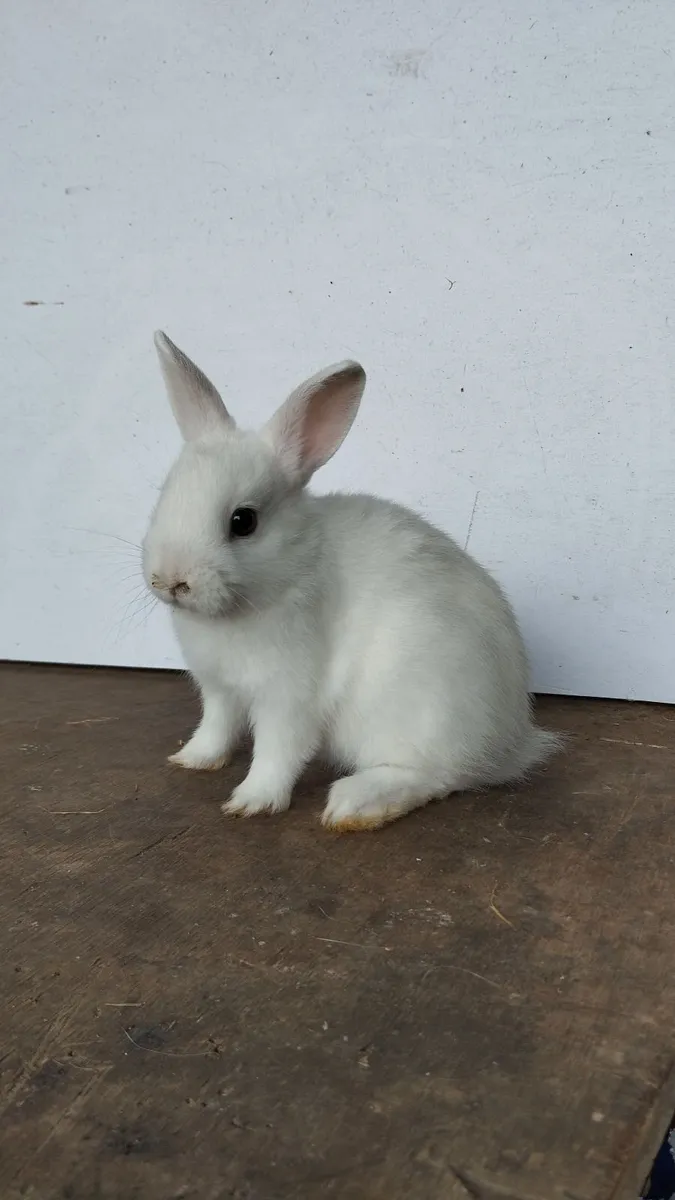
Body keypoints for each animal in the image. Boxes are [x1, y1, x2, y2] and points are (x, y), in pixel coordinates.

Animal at [142, 331, 559, 831]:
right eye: (164, 496)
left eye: (243, 522)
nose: (170, 580)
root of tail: (511, 741)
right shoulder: (218, 689)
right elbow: (215, 728)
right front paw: (191, 759)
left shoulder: (290, 694)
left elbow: (277, 751)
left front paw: (252, 801)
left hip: (416, 710)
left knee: (437, 775)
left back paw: (357, 803)